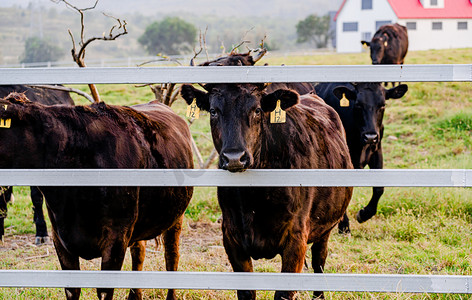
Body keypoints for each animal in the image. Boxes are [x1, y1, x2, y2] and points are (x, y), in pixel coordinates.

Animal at [183, 82, 352, 300]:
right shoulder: (231, 238)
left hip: (326, 229)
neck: (253, 198)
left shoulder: (296, 239)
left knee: (319, 263)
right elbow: (247, 293)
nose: (234, 157)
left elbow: (283, 293)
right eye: (213, 111)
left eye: (257, 110)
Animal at [316, 81, 408, 230]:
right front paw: (344, 226)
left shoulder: (376, 150)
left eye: (383, 105)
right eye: (358, 104)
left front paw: (364, 214)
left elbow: (379, 188)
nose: (370, 136)